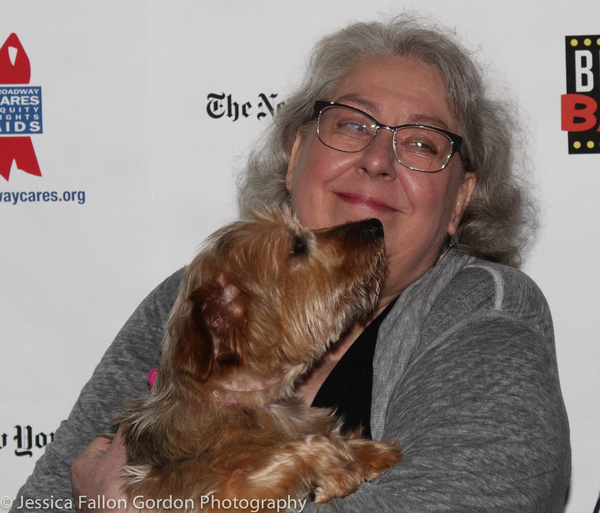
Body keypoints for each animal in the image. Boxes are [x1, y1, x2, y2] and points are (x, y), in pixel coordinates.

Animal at [118, 207, 400, 512]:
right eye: (297, 247)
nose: (376, 224)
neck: (248, 401)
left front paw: (376, 452)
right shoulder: (217, 493)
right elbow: (298, 447)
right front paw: (340, 469)